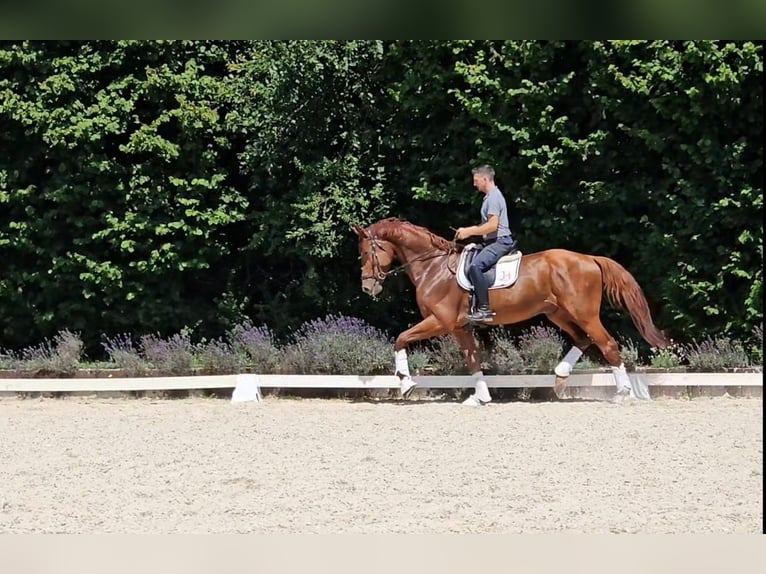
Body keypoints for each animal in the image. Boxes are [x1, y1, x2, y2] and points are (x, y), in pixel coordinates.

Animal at [354, 218, 672, 408]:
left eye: (367, 253)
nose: (368, 287)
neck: (433, 268)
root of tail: (589, 259)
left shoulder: (439, 322)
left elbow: (400, 338)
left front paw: (406, 384)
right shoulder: (459, 327)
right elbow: (473, 361)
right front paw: (480, 398)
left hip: (583, 314)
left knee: (608, 345)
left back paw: (622, 393)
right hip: (557, 313)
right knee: (583, 340)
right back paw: (560, 378)